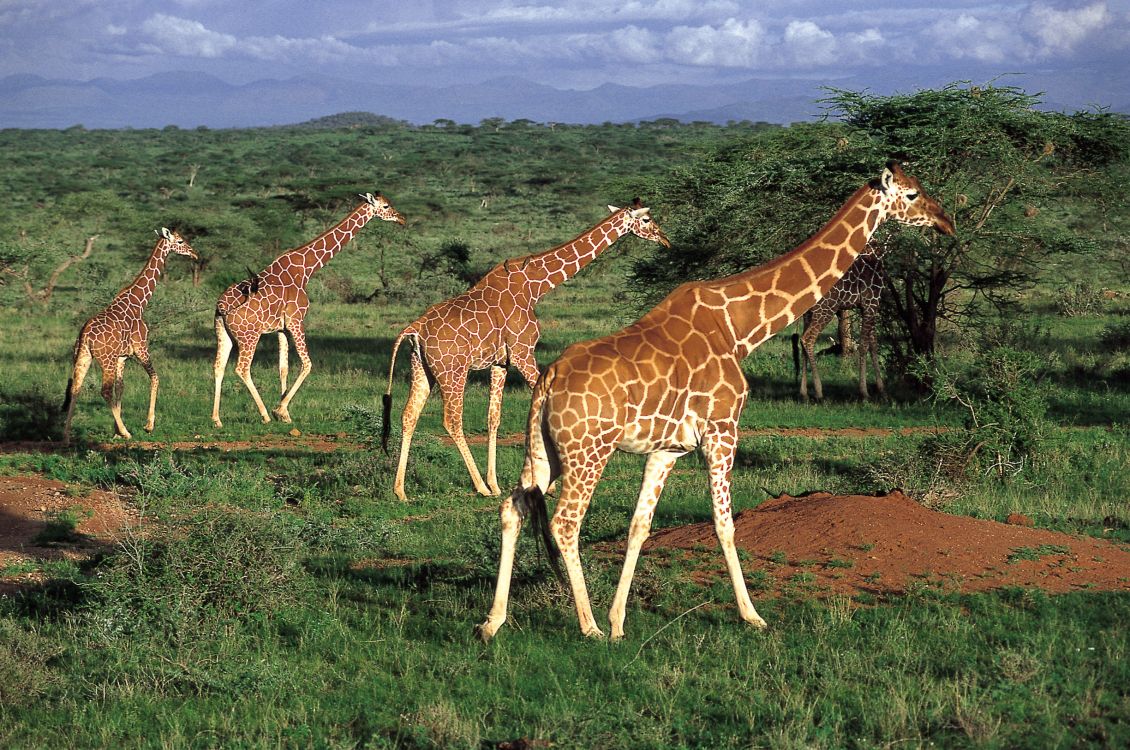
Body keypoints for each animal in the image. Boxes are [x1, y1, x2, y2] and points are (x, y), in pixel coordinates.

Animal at [63, 228, 198, 445]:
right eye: (180, 241)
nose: (195, 254)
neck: (139, 301)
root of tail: (85, 335)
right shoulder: (141, 348)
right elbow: (155, 378)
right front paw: (147, 426)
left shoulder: (122, 357)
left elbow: (121, 388)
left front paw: (116, 431)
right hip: (106, 360)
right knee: (104, 390)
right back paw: (128, 432)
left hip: (83, 356)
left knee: (76, 388)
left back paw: (66, 436)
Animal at [212, 193, 406, 426]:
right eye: (385, 206)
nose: (402, 218)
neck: (306, 269)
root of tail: (221, 306)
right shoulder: (297, 320)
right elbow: (307, 364)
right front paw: (280, 411)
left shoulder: (281, 328)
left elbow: (283, 368)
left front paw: (284, 410)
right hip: (249, 335)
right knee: (242, 368)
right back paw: (264, 415)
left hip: (223, 332)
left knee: (218, 367)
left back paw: (216, 419)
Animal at [384, 202, 668, 501]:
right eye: (647, 219)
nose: (665, 239)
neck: (535, 285)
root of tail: (414, 329)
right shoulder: (523, 351)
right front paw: (546, 484)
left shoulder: (501, 362)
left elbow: (493, 418)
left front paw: (497, 482)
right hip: (453, 371)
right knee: (451, 420)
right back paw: (479, 487)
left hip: (422, 367)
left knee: (409, 415)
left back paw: (400, 490)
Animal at [476, 159, 953, 637]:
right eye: (912, 194)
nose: (945, 222)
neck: (739, 327)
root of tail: (549, 378)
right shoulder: (723, 430)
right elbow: (724, 525)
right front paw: (752, 615)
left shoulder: (667, 448)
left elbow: (639, 526)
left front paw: (618, 622)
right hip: (589, 450)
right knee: (565, 522)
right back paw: (586, 626)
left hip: (544, 451)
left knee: (513, 507)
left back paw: (493, 621)